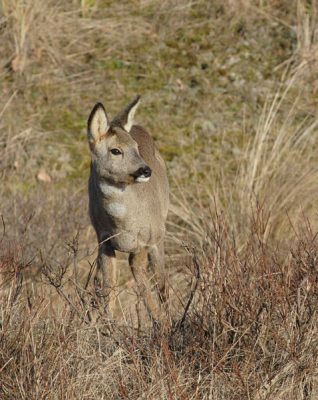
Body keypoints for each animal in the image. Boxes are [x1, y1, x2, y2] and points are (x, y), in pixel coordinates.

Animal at [87, 95, 169, 324]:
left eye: (135, 147)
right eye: (115, 150)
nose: (145, 170)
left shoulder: (149, 240)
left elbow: (153, 286)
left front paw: (166, 324)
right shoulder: (104, 240)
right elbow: (108, 287)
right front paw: (107, 325)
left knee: (153, 282)